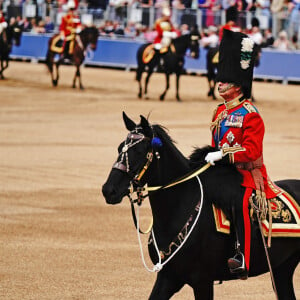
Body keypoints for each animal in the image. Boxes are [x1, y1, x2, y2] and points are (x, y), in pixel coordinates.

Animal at [102, 112, 300, 300]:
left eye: (140, 151)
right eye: (120, 148)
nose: (108, 190)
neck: (177, 208)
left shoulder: (202, 281)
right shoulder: (169, 277)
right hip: (282, 269)